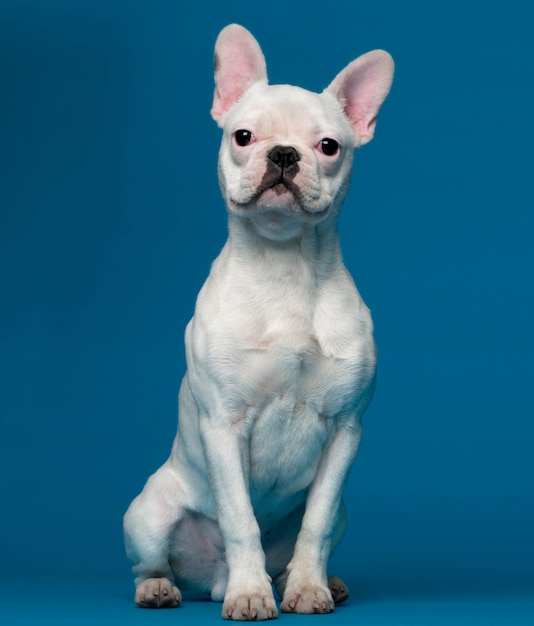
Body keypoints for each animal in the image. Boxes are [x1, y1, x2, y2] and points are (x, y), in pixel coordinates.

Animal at [124, 23, 394, 620]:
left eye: (329, 147)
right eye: (243, 136)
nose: (284, 153)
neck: (285, 266)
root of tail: (211, 578)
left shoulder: (344, 430)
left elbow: (315, 524)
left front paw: (308, 589)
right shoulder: (224, 425)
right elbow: (240, 518)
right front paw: (251, 594)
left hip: (343, 510)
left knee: (305, 541)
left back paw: (308, 579)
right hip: (146, 514)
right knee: (152, 561)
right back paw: (170, 587)